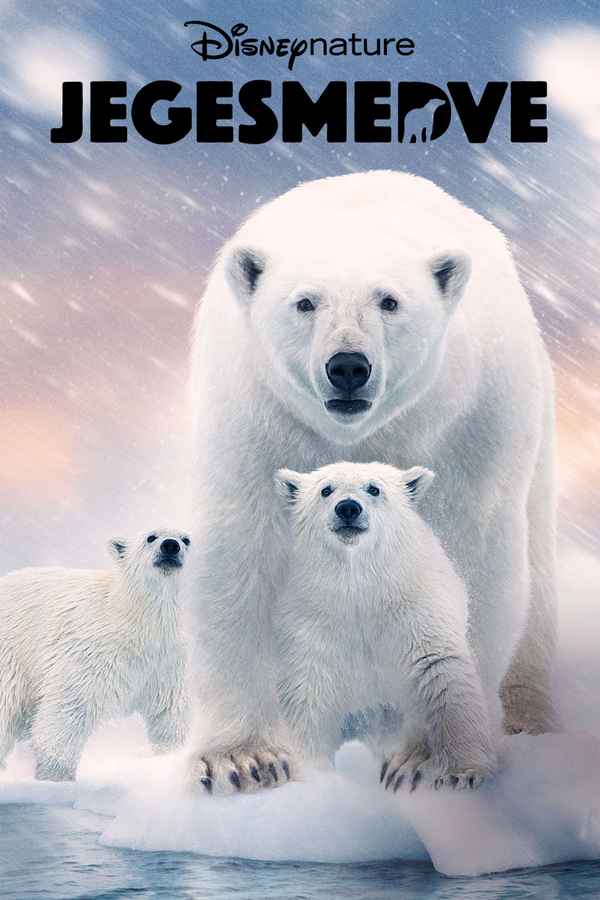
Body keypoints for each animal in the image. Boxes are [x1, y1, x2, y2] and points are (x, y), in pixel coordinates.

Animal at [0, 528, 190, 781]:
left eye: (186, 539)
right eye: (151, 537)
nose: (170, 546)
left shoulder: (165, 661)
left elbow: (168, 711)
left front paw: (169, 757)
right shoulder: (92, 651)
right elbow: (69, 709)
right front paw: (57, 775)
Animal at [270, 461, 496, 792]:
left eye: (374, 488)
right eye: (326, 490)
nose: (348, 508)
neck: (361, 588)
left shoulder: (416, 610)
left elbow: (442, 675)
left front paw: (461, 774)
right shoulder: (313, 620)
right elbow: (306, 693)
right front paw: (312, 774)